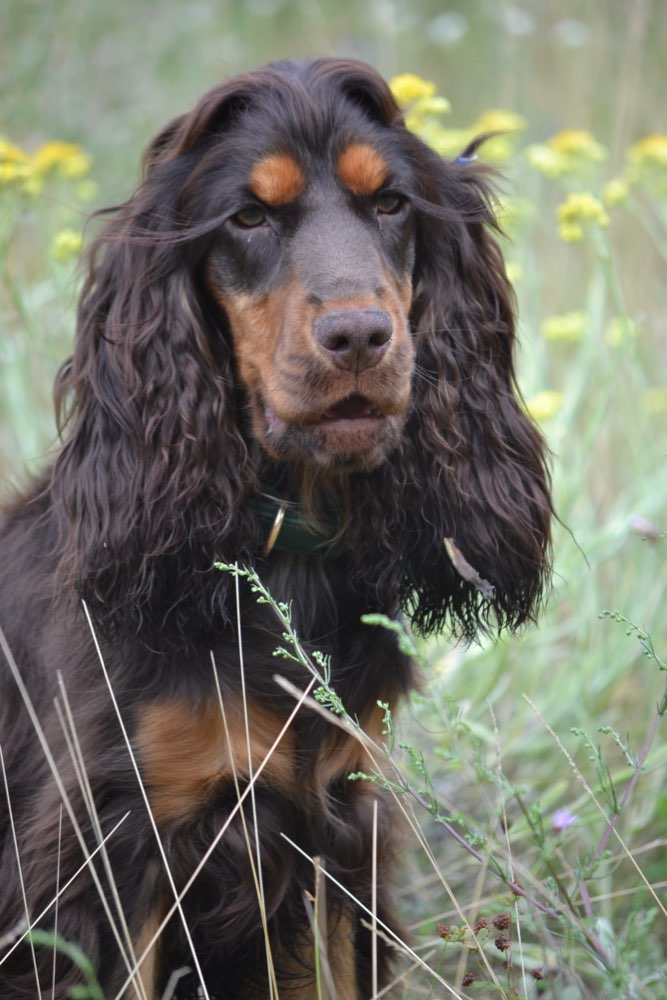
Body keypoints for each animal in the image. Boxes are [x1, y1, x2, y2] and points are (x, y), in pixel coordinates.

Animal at [1, 58, 552, 996]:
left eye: (391, 203)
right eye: (249, 217)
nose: (360, 336)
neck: (282, 555)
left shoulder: (334, 829)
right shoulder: (113, 848)